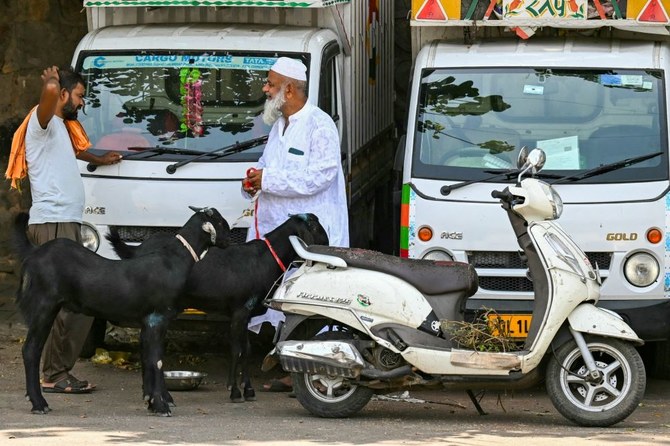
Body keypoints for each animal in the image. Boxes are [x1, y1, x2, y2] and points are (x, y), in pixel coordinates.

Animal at [13, 206, 231, 414]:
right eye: (221, 223)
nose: (229, 241)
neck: (174, 260)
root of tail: (33, 252)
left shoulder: (148, 322)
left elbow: (149, 359)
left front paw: (151, 402)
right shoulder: (157, 318)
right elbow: (157, 361)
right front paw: (161, 406)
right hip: (43, 306)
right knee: (31, 349)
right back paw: (39, 403)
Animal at [109, 213, 330, 400]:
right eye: (315, 227)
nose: (329, 245)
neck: (265, 258)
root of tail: (136, 249)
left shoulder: (246, 313)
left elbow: (246, 349)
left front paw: (248, 389)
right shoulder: (239, 310)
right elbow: (236, 350)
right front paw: (234, 391)